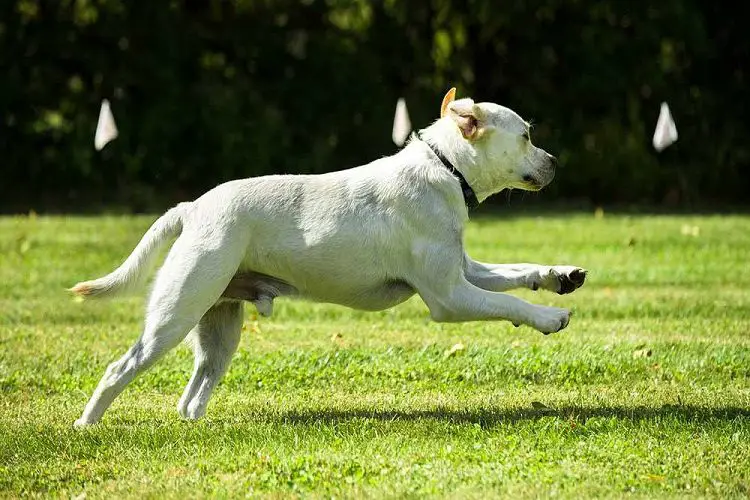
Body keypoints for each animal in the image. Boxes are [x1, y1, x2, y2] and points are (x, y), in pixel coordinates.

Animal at [70, 87, 588, 426]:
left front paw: (560, 275)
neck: (446, 168)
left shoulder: (464, 271)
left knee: (193, 395)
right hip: (174, 315)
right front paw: (549, 317)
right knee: (120, 369)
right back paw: (86, 425)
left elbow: (514, 273)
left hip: (219, 327)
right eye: (526, 136)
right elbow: (508, 302)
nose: (556, 162)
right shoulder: (450, 296)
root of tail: (193, 208)